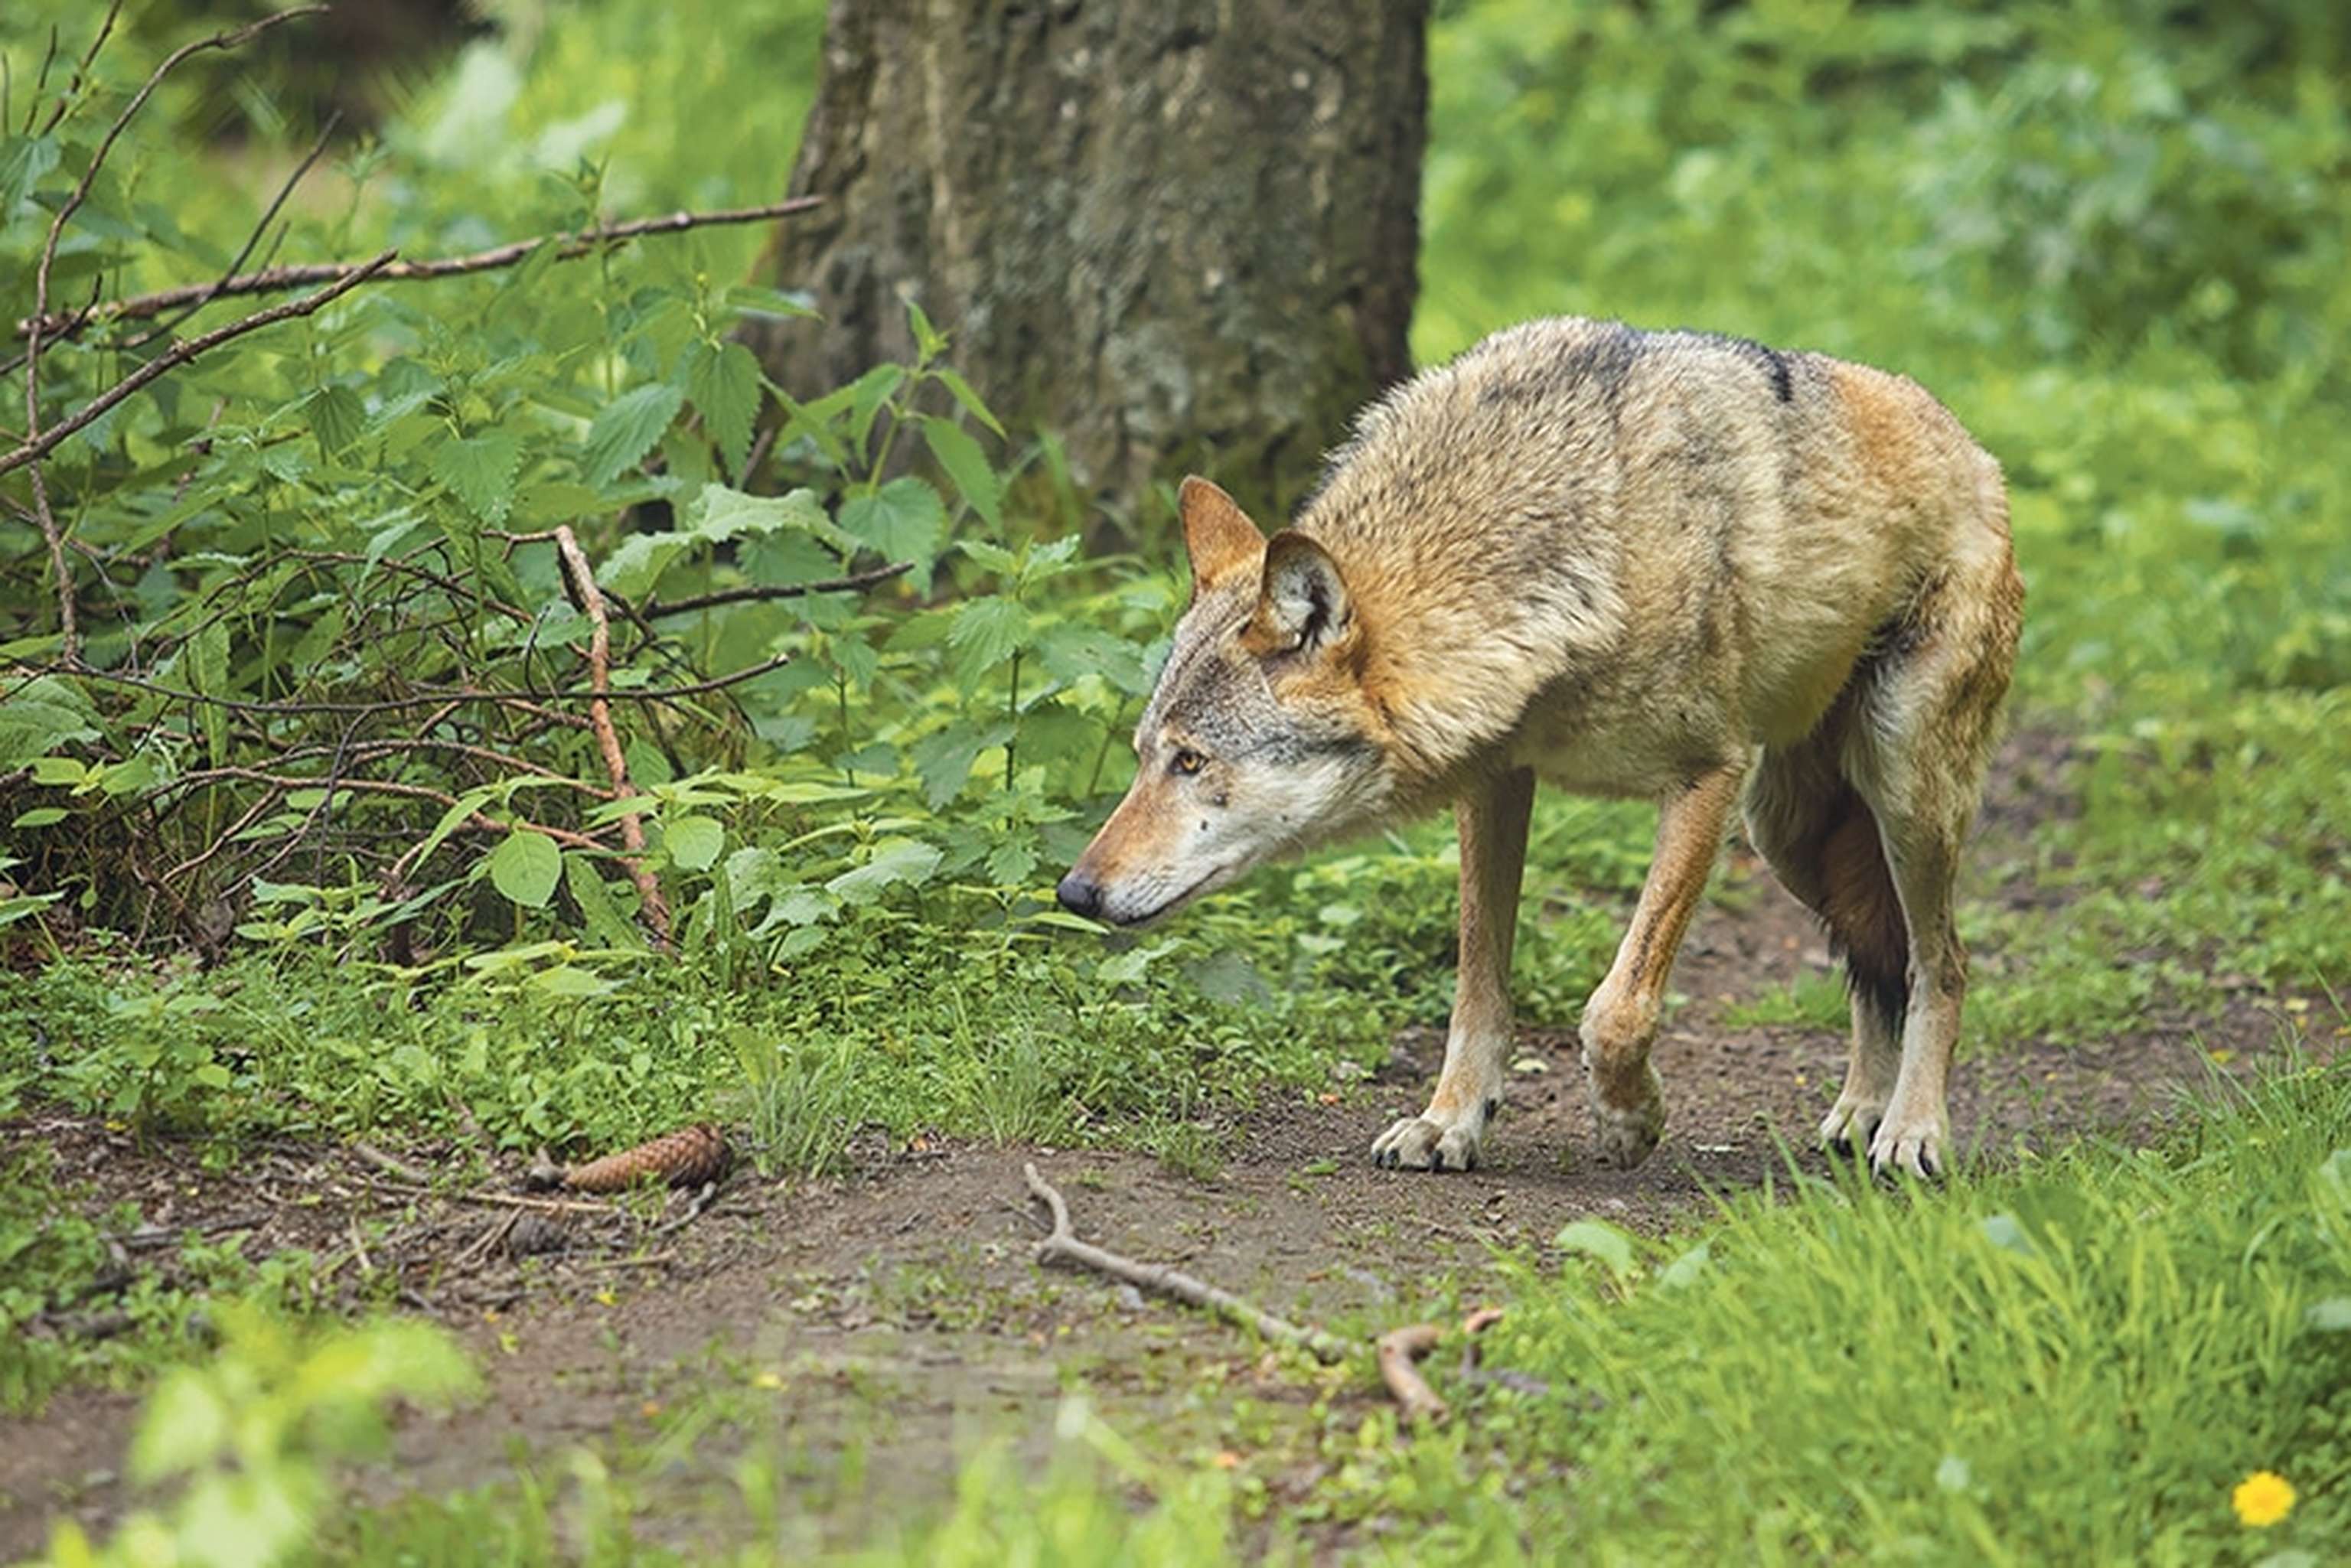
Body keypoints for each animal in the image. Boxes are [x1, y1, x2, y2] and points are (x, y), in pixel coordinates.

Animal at [1056, 317, 2023, 1179]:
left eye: (1191, 761)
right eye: (1144, 755)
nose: (1073, 892)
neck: (1566, 568)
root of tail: (1974, 450)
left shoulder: (1705, 778)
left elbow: (1616, 1008)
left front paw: (1631, 1122)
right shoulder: (1495, 786)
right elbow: (1477, 989)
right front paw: (1450, 1123)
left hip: (1896, 796)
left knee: (1944, 964)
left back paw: (1912, 1132)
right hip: (1791, 835)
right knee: (1877, 963)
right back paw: (1861, 1113)